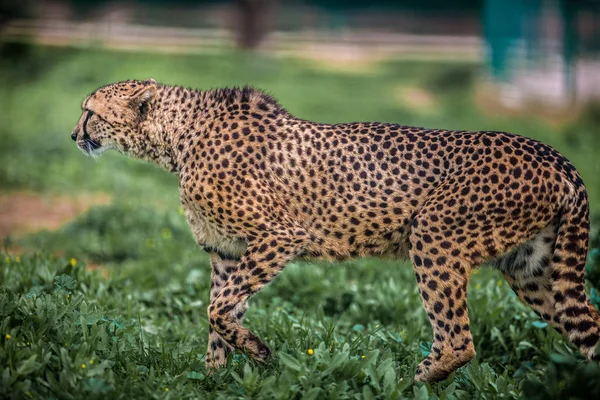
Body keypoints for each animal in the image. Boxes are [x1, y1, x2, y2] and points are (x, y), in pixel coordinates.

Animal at [71, 78, 600, 382]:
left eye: (90, 111)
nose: (74, 135)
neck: (180, 137)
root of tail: (557, 157)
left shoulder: (279, 235)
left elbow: (218, 309)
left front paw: (260, 355)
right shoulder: (226, 252)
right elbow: (220, 314)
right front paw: (214, 378)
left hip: (433, 234)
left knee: (458, 340)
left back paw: (411, 380)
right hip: (532, 269)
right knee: (587, 324)